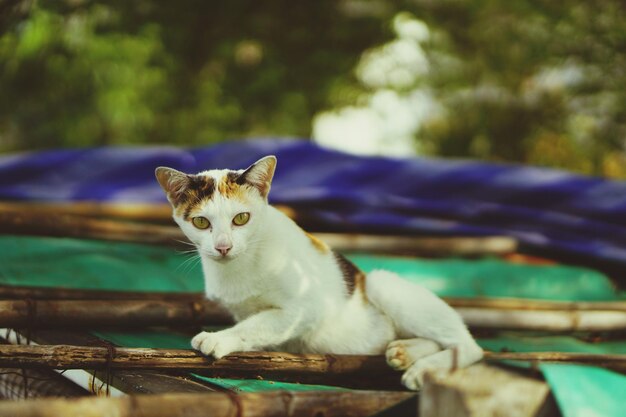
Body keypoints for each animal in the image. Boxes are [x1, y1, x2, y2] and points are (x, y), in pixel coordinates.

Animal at [156, 154, 482, 388]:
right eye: (201, 223)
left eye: (241, 218)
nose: (223, 247)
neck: (241, 264)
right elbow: (258, 324)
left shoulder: (308, 308)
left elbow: (258, 324)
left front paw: (219, 338)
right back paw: (404, 352)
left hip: (381, 284)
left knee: (470, 348)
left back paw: (422, 370)